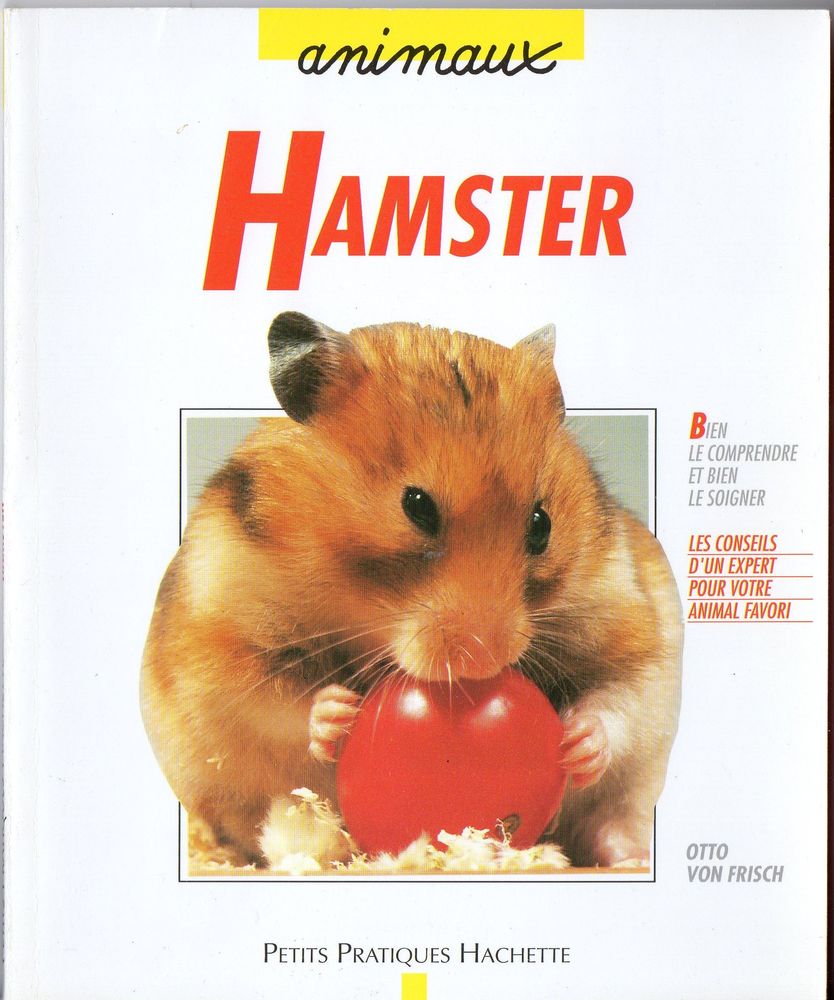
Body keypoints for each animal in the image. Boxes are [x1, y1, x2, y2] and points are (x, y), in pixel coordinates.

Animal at [141, 311, 683, 868]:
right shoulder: (216, 643)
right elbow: (277, 701)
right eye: (416, 507)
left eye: (542, 524)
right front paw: (337, 714)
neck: (360, 606)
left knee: (612, 817)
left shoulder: (632, 616)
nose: (484, 664)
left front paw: (575, 741)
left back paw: (629, 856)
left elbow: (622, 693)